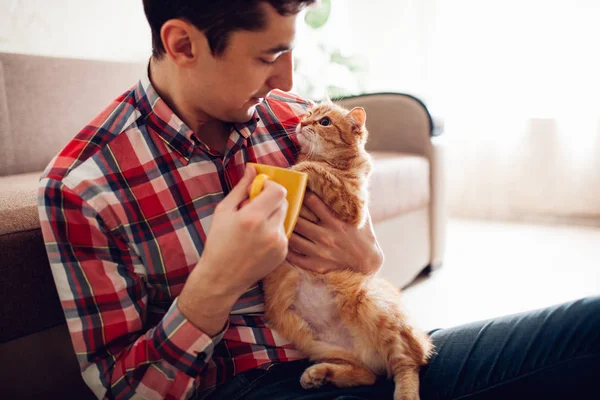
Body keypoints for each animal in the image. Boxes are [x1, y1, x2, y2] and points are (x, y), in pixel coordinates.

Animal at [262, 102, 432, 400]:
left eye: (325, 122)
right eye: (309, 114)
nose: (302, 122)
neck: (330, 160)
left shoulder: (353, 207)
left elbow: (320, 174)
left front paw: (300, 168)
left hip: (374, 305)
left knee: (407, 363)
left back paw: (405, 393)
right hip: (321, 346)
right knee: (368, 375)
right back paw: (320, 374)